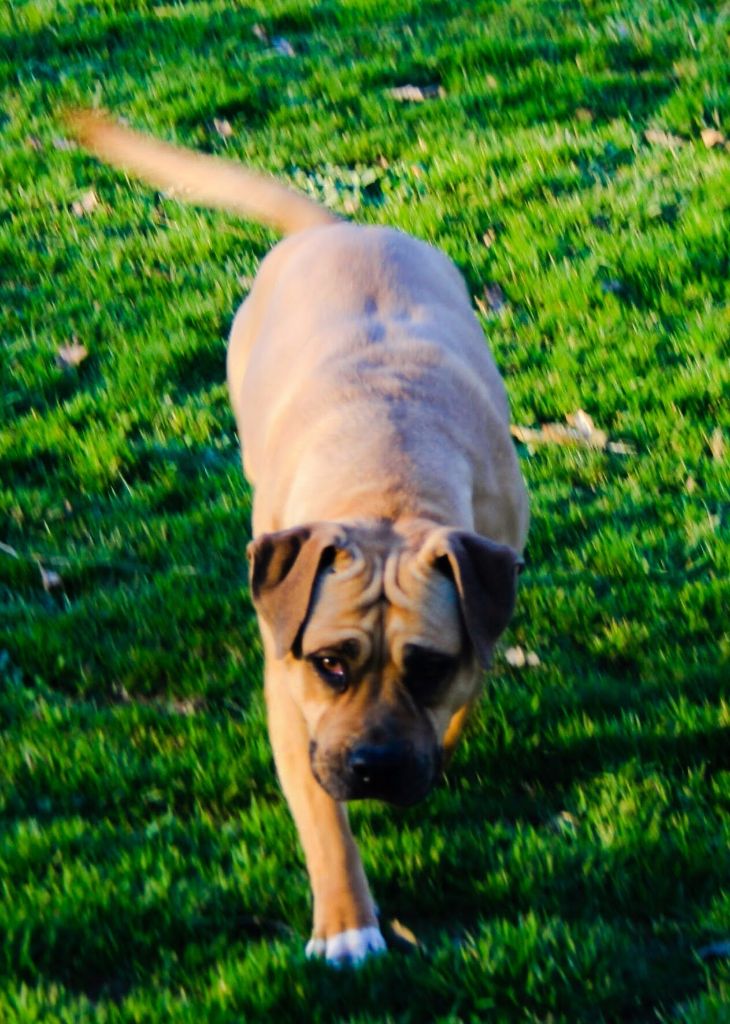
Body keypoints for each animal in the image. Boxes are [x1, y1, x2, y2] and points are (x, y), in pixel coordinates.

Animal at [71, 111, 529, 966]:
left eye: (428, 666)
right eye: (329, 663)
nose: (374, 767)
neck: (389, 481)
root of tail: (336, 228)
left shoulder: (488, 594)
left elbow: (464, 699)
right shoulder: (290, 702)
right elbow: (323, 823)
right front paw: (347, 923)